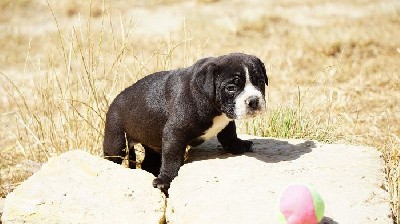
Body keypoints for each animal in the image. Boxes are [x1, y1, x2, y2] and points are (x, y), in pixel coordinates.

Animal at [103, 52, 268, 192]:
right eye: (231, 88)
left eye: (260, 82)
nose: (253, 100)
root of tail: (114, 101)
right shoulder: (175, 132)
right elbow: (172, 158)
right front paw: (165, 179)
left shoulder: (226, 121)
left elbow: (229, 134)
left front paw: (238, 145)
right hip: (116, 139)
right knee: (112, 156)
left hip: (151, 144)